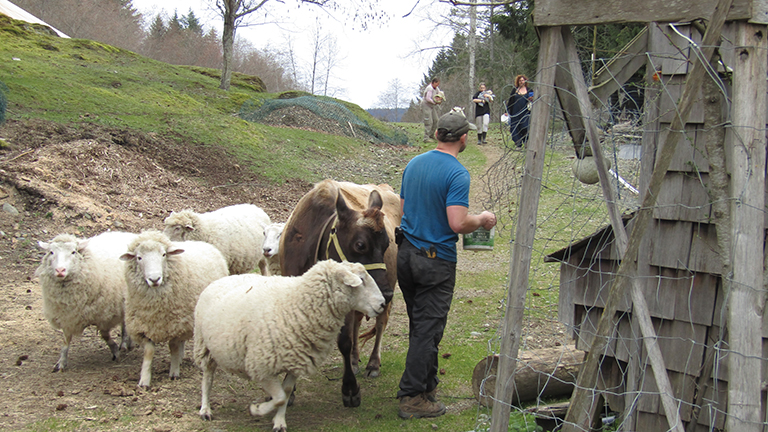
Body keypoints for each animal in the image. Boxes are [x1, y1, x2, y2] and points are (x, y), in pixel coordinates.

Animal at [35, 231, 136, 372]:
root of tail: (126, 233)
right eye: (51, 252)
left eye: (73, 252)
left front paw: (115, 351)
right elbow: (65, 340)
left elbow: (105, 335)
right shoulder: (67, 316)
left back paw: (124, 343)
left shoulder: (104, 315)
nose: (60, 270)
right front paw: (61, 362)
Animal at [120, 230, 229, 388]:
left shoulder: (177, 324)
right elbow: (149, 351)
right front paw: (144, 380)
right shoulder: (144, 326)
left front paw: (174, 372)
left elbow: (173, 346)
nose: (154, 279)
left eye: (164, 254)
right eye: (139, 257)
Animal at [194, 260, 387, 432]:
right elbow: (279, 396)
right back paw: (205, 409)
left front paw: (279, 422)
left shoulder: (297, 360)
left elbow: (285, 393)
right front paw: (257, 409)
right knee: (208, 377)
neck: (298, 303)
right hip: (203, 344)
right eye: (361, 279)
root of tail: (224, 278)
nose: (383, 303)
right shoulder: (261, 366)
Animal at [279, 179, 401, 408]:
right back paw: (354, 360)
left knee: (380, 323)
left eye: (387, 244)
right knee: (358, 322)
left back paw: (373, 364)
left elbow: (344, 340)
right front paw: (287, 391)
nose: (386, 293)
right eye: (360, 245)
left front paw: (350, 389)